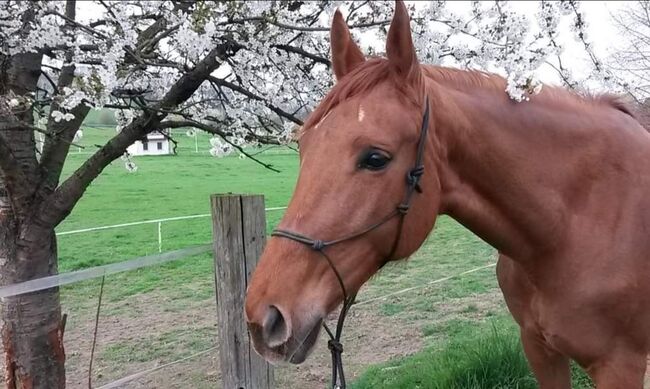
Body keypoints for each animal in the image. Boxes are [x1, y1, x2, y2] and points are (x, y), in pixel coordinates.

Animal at [242, 1, 648, 386]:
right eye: (303, 147)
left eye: (375, 158)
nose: (265, 316)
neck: (580, 220)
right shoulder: (539, 349)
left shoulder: (619, 365)